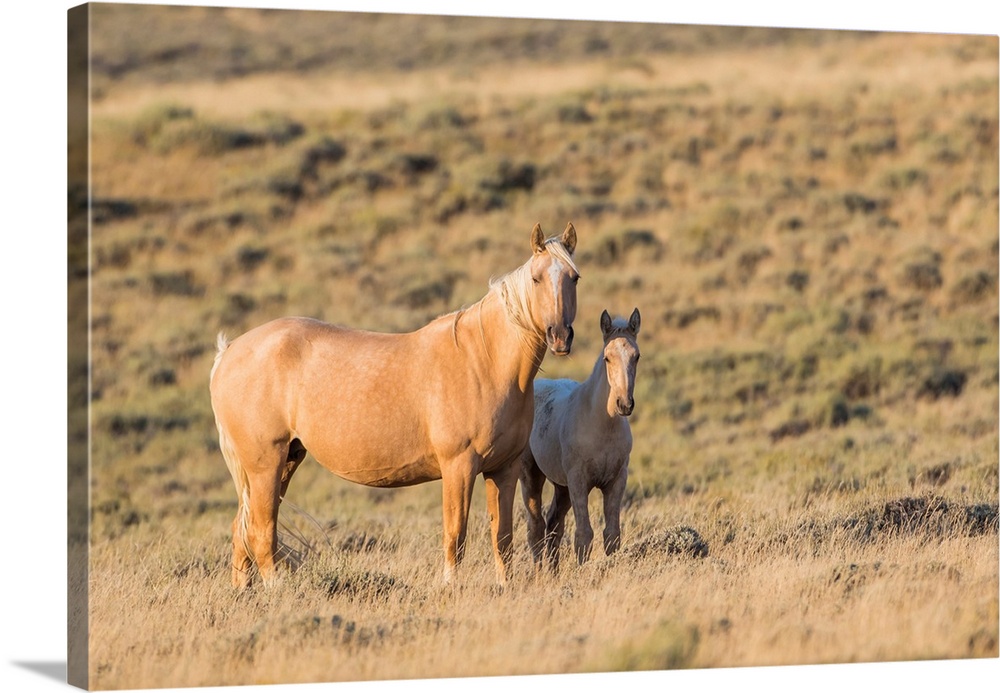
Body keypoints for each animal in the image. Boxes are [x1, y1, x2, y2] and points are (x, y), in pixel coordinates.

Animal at [209, 223, 580, 588]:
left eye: (574, 277)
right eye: (536, 278)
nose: (560, 336)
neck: (483, 360)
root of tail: (229, 352)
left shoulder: (503, 469)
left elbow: (501, 536)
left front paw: (504, 587)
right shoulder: (458, 467)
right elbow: (455, 534)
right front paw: (450, 586)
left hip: (285, 460)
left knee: (242, 531)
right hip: (265, 465)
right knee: (260, 531)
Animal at [524, 306, 640, 568]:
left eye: (636, 356)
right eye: (607, 357)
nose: (624, 404)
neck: (602, 425)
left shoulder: (616, 480)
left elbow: (612, 534)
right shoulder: (579, 480)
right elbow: (584, 535)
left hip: (562, 486)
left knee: (553, 524)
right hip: (532, 475)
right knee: (536, 527)